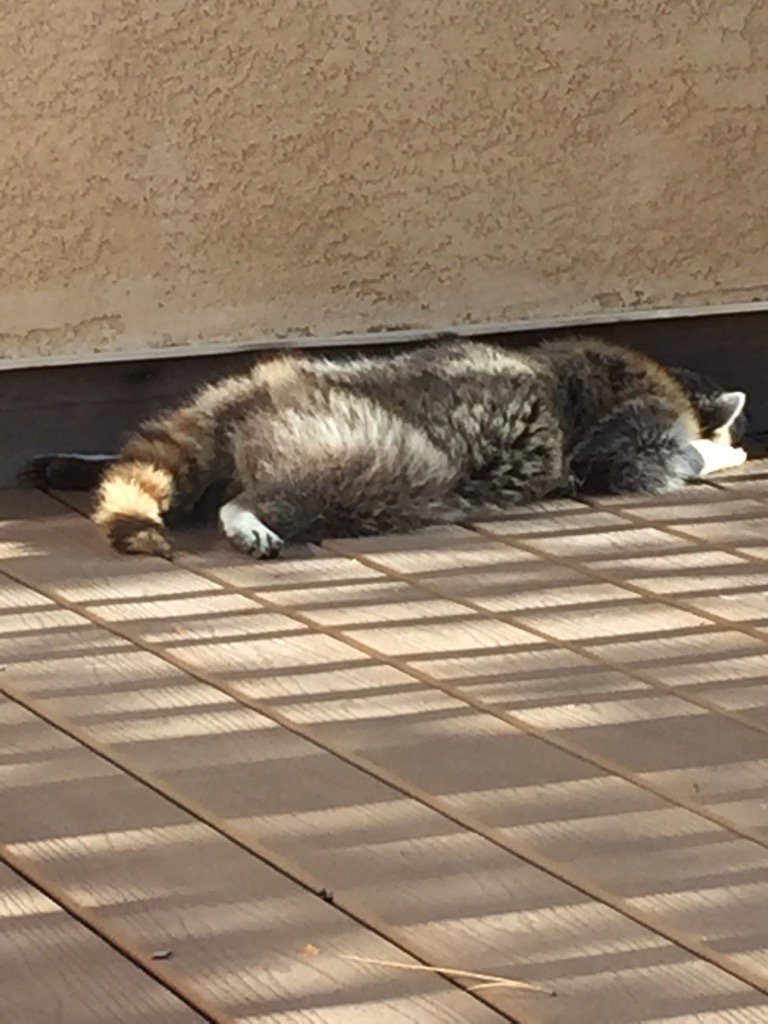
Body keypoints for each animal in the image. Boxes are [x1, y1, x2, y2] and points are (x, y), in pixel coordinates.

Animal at [21, 336, 747, 559]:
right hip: (366, 446)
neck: (669, 378)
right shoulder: (625, 425)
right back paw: (249, 510)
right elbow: (637, 461)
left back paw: (85, 464)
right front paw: (716, 452)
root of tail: (261, 385)